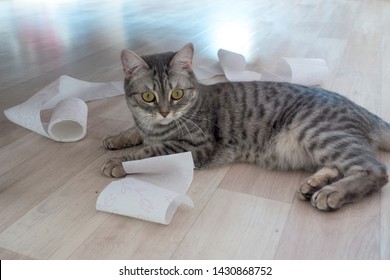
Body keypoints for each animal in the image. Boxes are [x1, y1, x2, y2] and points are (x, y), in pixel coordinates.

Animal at [101, 43, 390, 210]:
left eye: (177, 94)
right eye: (148, 96)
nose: (164, 112)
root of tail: (364, 111)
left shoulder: (192, 146)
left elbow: (149, 152)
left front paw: (118, 162)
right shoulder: (147, 126)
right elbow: (135, 132)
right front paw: (116, 138)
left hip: (318, 133)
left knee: (374, 170)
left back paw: (332, 193)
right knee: (338, 167)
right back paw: (313, 185)